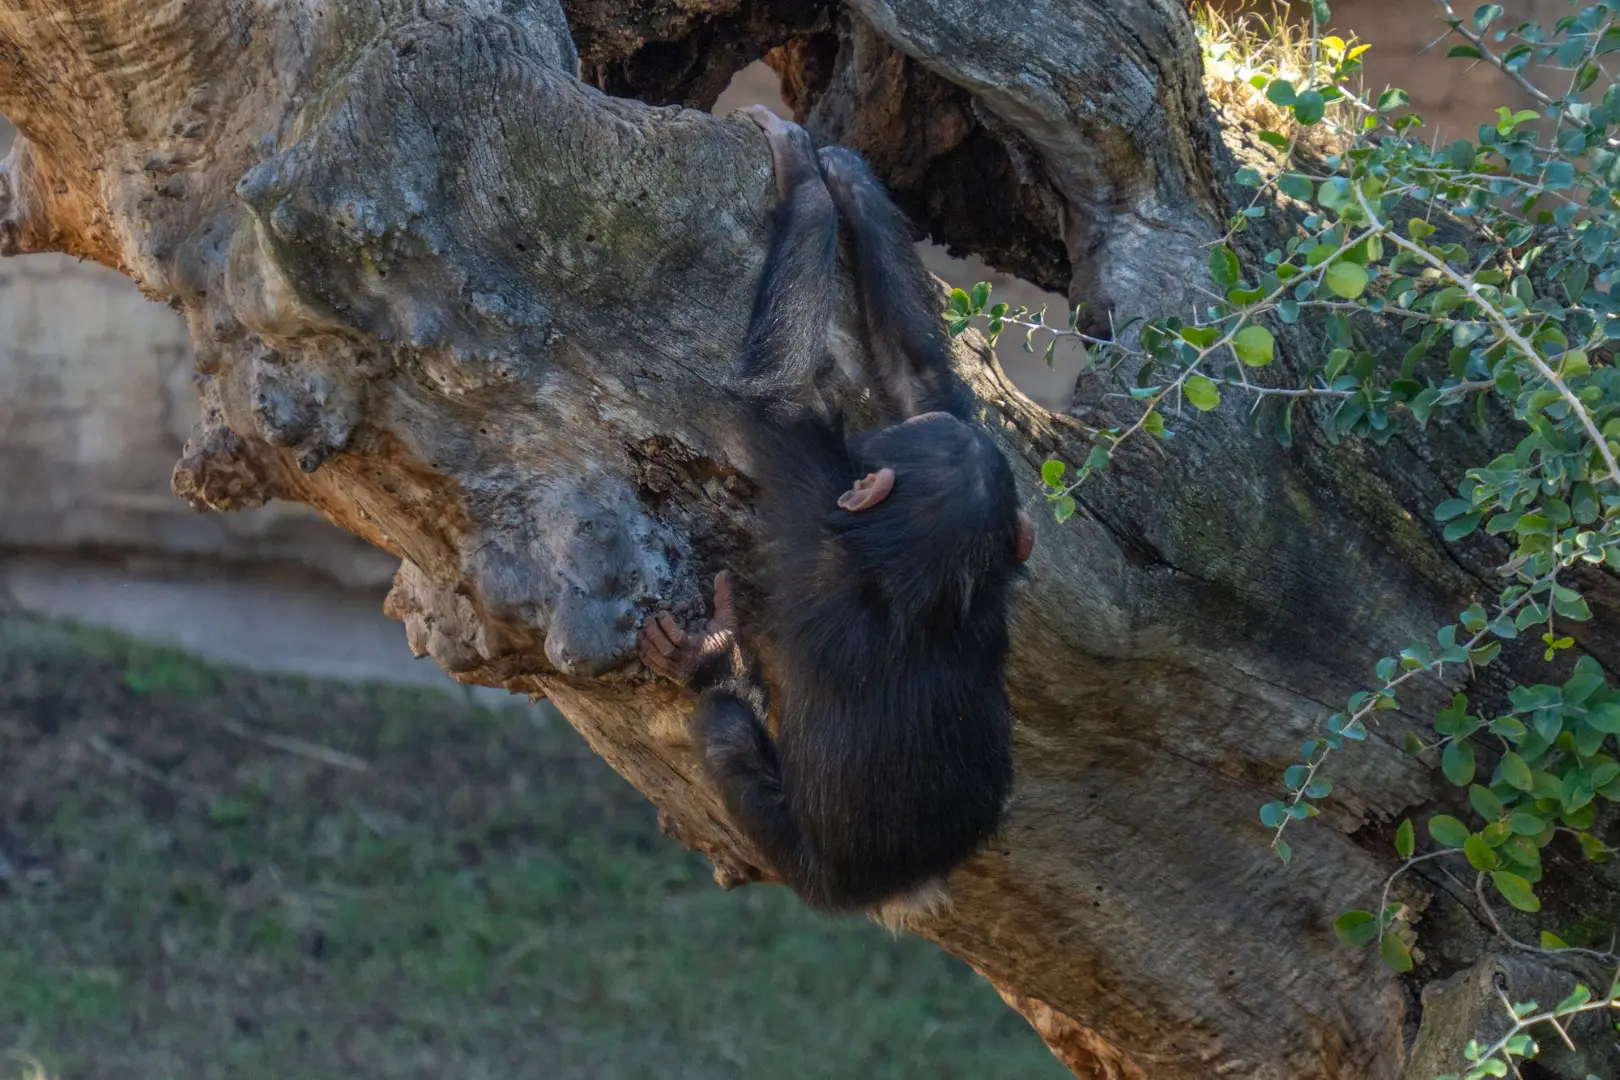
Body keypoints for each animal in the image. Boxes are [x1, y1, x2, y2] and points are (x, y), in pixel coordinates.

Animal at [638, 105, 1034, 923]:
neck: (920, 589)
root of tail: (902, 889)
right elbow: (923, 384)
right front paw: (849, 177)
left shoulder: (815, 481)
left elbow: (779, 391)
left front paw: (803, 173)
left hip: (804, 865)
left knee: (724, 729)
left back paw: (710, 659)